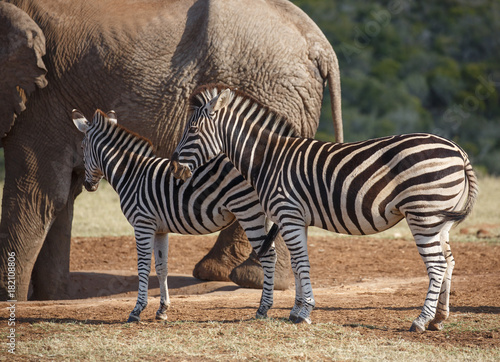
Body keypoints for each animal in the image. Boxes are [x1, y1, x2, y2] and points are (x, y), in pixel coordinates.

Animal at [72, 108, 280, 322]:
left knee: (268, 255)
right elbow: (161, 267)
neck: (131, 174)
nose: (88, 186)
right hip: (262, 214)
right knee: (275, 253)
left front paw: (137, 310)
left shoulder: (142, 223)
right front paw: (162, 309)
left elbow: (143, 266)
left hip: (248, 211)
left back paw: (263, 308)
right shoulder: (160, 229)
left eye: (82, 147)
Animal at [170, 84, 478, 330]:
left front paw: (304, 312)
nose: (174, 168)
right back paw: (439, 319)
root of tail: (458, 150)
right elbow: (297, 265)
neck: (268, 159)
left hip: (423, 214)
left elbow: (302, 263)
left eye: (192, 130)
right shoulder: (296, 219)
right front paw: (296, 310)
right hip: (439, 219)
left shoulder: (289, 214)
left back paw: (421, 321)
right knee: (449, 262)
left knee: (437, 265)